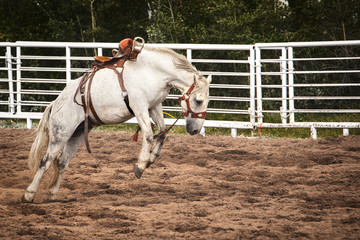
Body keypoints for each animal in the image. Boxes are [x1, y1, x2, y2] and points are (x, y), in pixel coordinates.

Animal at [21, 45, 211, 202]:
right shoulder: (139, 107)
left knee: (62, 162)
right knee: (46, 161)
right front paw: (141, 165)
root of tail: (55, 103)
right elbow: (149, 135)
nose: (195, 130)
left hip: (78, 133)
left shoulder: (154, 106)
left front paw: (151, 159)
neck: (152, 71)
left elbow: (162, 132)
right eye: (198, 100)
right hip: (60, 133)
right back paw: (28, 194)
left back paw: (52, 193)